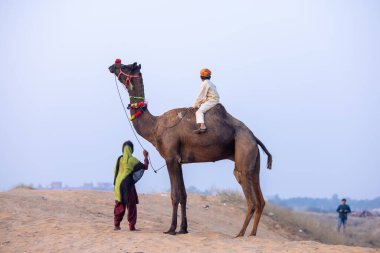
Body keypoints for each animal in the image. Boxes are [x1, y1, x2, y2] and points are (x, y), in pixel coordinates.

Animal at [108, 60, 272, 236]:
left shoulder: (171, 158)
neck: (154, 126)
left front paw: (171, 229)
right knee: (260, 197)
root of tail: (254, 137)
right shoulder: (179, 161)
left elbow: (175, 195)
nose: (112, 66)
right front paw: (183, 229)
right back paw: (252, 234)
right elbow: (184, 195)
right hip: (253, 158)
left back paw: (240, 234)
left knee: (249, 195)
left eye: (125, 66)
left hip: (243, 150)